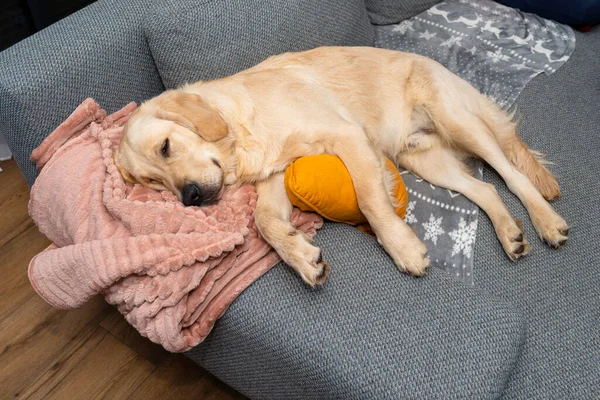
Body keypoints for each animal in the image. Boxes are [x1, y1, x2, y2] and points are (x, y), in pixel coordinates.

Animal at [115, 46, 568, 284]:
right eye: (154, 184)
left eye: (166, 147)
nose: (189, 198)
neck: (242, 128)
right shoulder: (277, 176)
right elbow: (265, 221)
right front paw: (300, 256)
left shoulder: (346, 136)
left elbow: (370, 200)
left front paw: (403, 247)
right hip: (425, 157)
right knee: (485, 189)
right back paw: (510, 234)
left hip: (459, 122)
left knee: (512, 176)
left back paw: (546, 221)